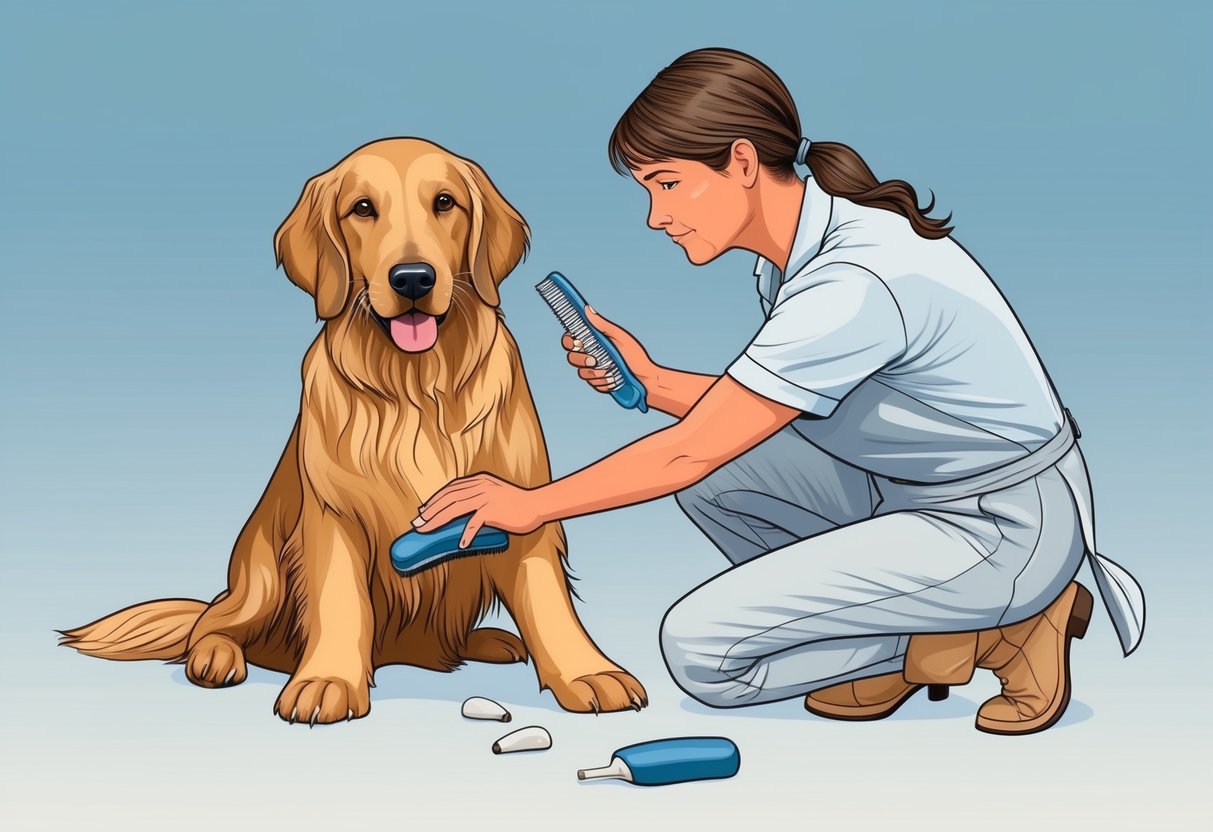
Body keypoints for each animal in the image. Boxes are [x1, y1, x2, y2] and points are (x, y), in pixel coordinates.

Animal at [59, 137, 645, 722]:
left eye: (445, 202)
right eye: (362, 208)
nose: (413, 279)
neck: (417, 387)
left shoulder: (516, 505)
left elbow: (548, 600)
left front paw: (588, 672)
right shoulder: (335, 515)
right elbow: (339, 600)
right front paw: (327, 681)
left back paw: (489, 641)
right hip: (261, 574)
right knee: (213, 623)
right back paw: (217, 656)